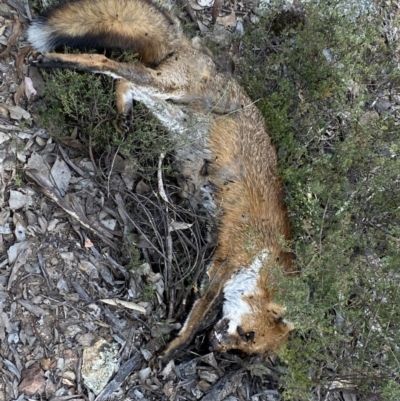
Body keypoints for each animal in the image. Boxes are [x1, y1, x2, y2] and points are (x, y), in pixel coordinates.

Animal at [28, 0, 296, 360]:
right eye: (248, 334)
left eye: (243, 348)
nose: (213, 346)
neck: (265, 253)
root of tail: (194, 46)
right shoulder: (228, 259)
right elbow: (198, 314)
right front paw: (175, 348)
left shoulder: (215, 253)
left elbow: (197, 297)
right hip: (169, 89)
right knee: (108, 63)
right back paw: (55, 60)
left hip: (176, 117)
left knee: (124, 83)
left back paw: (122, 115)